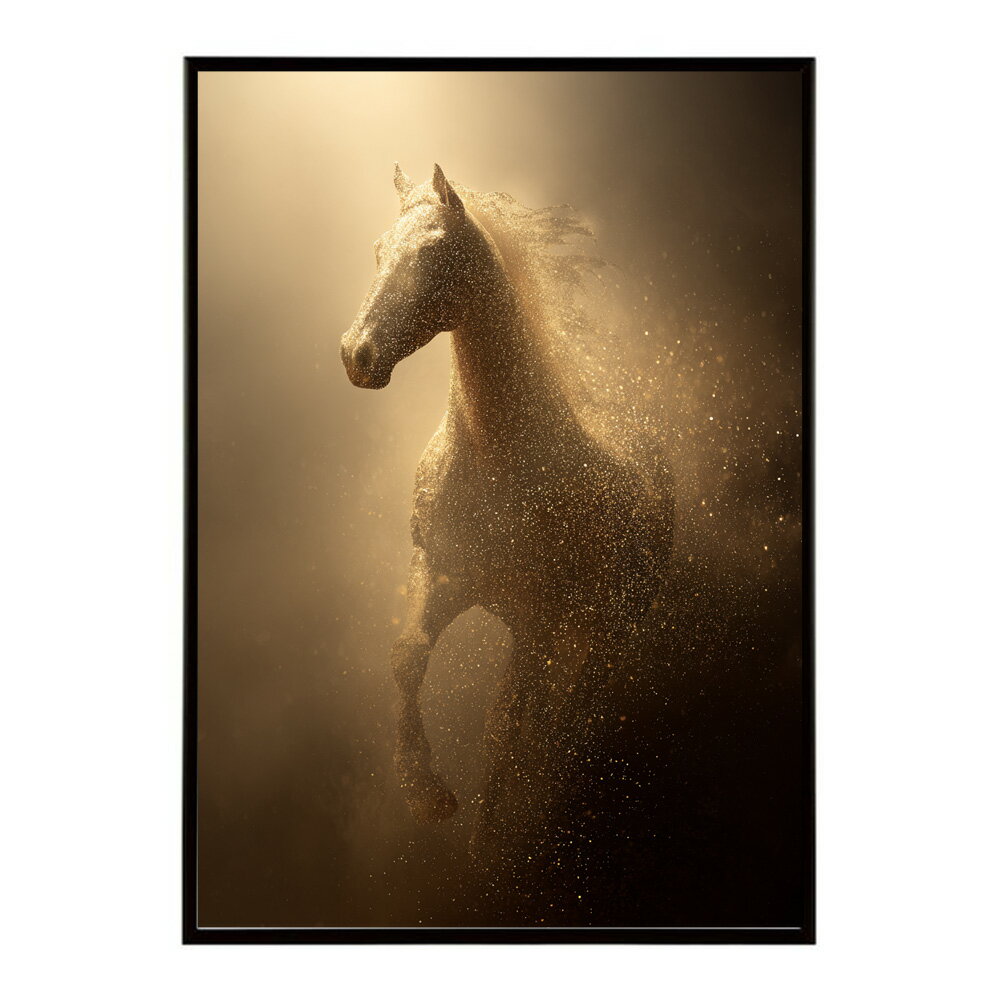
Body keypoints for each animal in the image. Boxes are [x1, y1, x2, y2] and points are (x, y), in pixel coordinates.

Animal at [340, 164, 673, 857]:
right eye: (379, 250)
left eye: (435, 253)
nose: (356, 355)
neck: (499, 460)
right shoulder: (441, 574)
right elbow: (407, 658)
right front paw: (428, 796)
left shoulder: (535, 618)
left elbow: (509, 721)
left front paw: (488, 840)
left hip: (610, 623)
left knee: (572, 708)